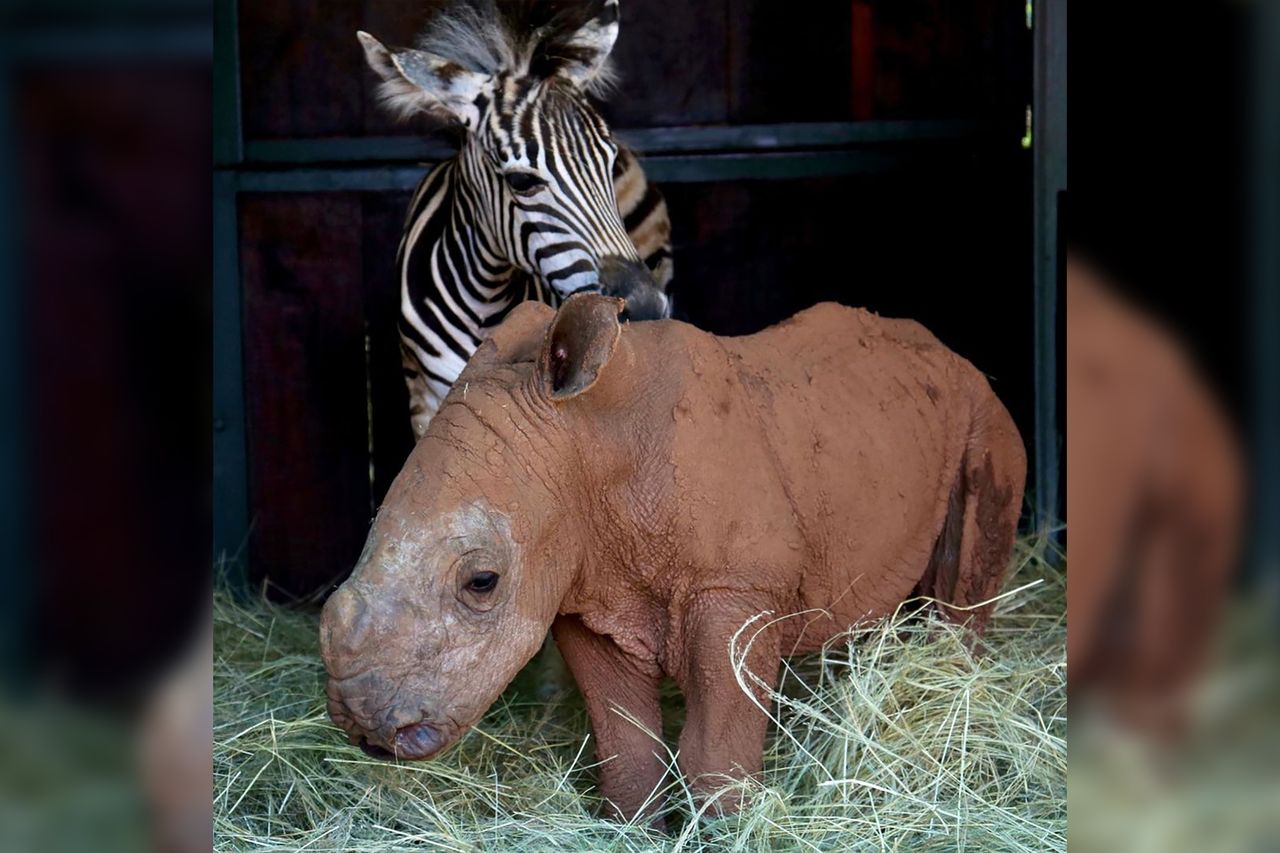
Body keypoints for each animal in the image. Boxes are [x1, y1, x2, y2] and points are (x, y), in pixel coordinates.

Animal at [322, 292, 1029, 819]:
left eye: (482, 582)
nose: (364, 729)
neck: (589, 444)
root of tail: (953, 354)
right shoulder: (587, 590)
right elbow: (623, 739)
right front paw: (633, 825)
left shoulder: (734, 586)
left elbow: (716, 745)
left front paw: (728, 826)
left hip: (986, 414)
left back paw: (953, 690)